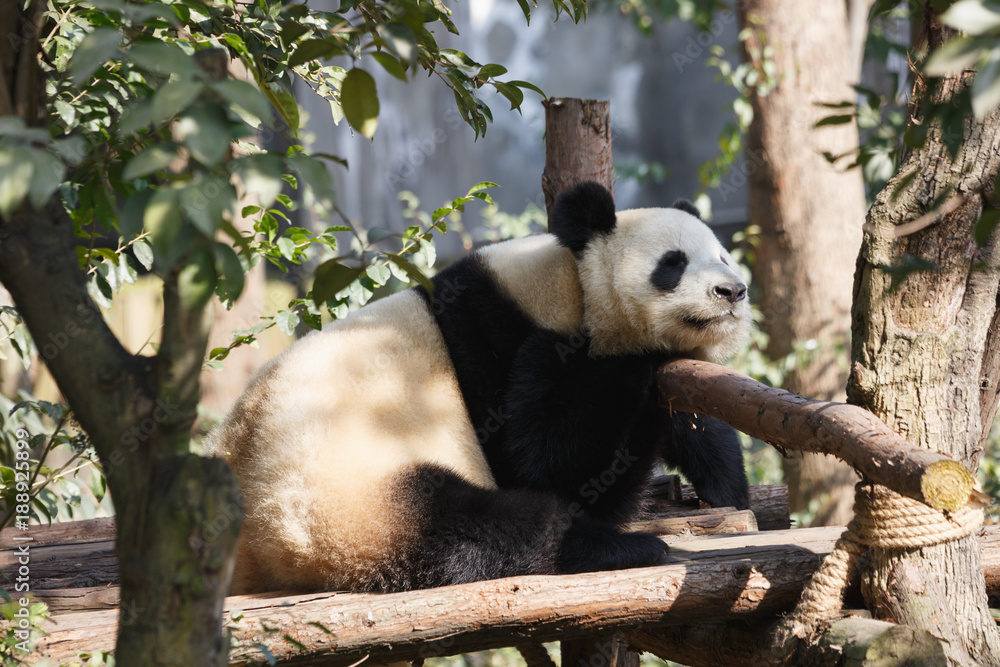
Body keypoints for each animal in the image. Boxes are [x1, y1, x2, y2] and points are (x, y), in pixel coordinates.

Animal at [208, 181, 752, 594]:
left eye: (724, 256)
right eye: (673, 262)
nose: (732, 291)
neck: (569, 282)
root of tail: (254, 552)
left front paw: (725, 488)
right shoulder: (499, 341)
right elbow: (552, 464)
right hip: (348, 496)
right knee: (475, 524)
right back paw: (615, 546)